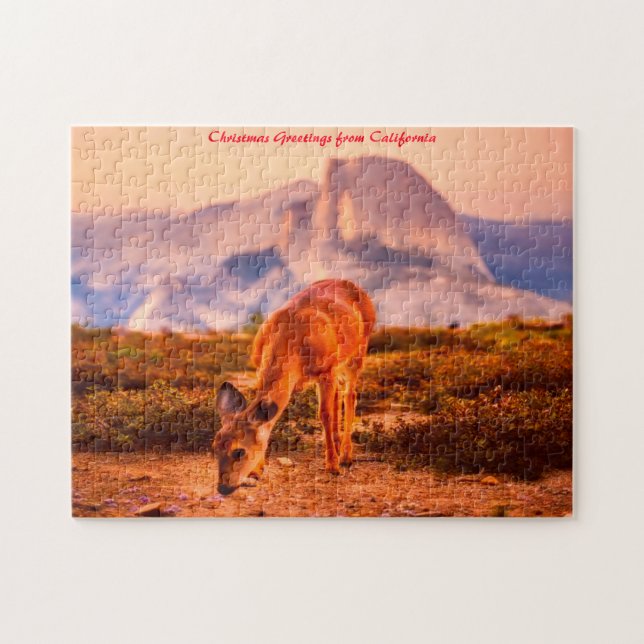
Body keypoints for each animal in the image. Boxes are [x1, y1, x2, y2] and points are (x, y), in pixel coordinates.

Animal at [213, 279, 376, 495]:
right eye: (214, 448)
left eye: (239, 451)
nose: (223, 487)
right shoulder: (260, 368)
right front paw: (257, 471)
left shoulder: (325, 370)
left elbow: (324, 414)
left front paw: (332, 466)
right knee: (338, 396)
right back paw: (338, 444)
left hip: (358, 352)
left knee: (350, 395)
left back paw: (345, 457)